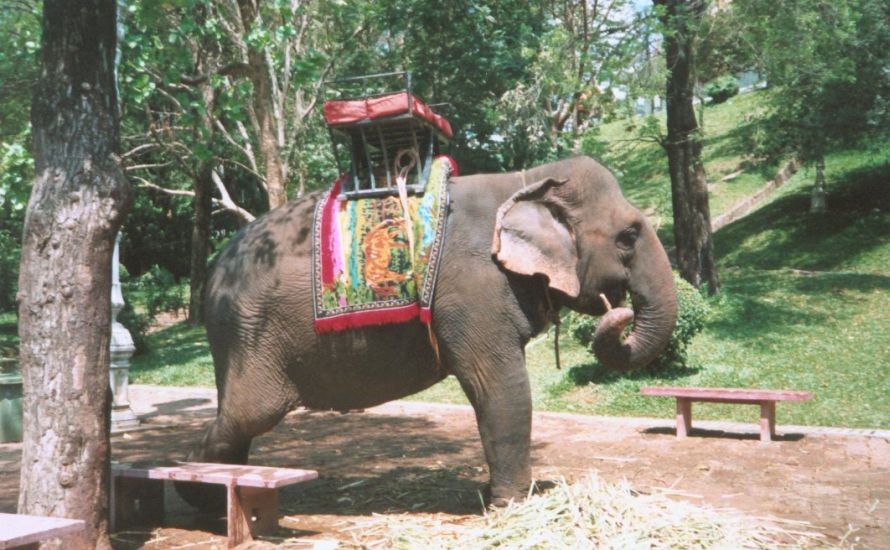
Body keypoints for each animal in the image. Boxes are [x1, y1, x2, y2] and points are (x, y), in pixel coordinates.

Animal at [186, 154, 672, 508]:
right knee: (249, 415)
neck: (527, 179)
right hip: (250, 336)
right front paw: (514, 505)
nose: (617, 310)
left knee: (241, 422)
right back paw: (201, 495)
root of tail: (212, 273)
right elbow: (499, 385)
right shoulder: (474, 289)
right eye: (629, 236)